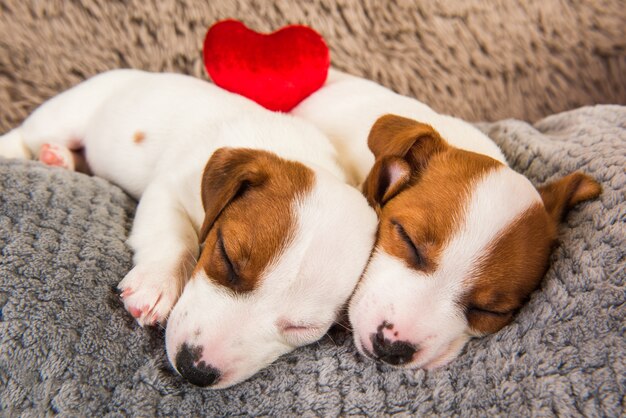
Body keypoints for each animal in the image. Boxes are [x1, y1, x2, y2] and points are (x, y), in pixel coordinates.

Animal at [0, 69, 378, 388]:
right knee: (25, 135)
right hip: (65, 116)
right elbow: (175, 238)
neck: (297, 152)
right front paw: (156, 283)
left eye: (303, 328)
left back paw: (59, 158)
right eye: (226, 258)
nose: (195, 370)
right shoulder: (169, 188)